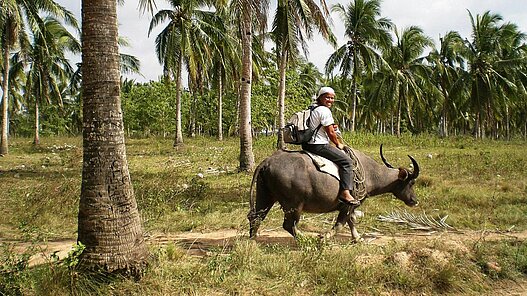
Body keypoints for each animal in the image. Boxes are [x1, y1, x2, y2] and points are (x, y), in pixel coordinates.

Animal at [248, 145, 420, 242]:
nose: (415, 200)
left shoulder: (350, 207)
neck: (370, 173)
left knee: (256, 217)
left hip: (265, 196)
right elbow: (340, 225)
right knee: (289, 225)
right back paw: (305, 240)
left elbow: (351, 222)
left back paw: (253, 238)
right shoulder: (348, 205)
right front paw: (323, 238)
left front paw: (357, 238)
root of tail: (267, 162)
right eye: (411, 183)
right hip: (294, 205)